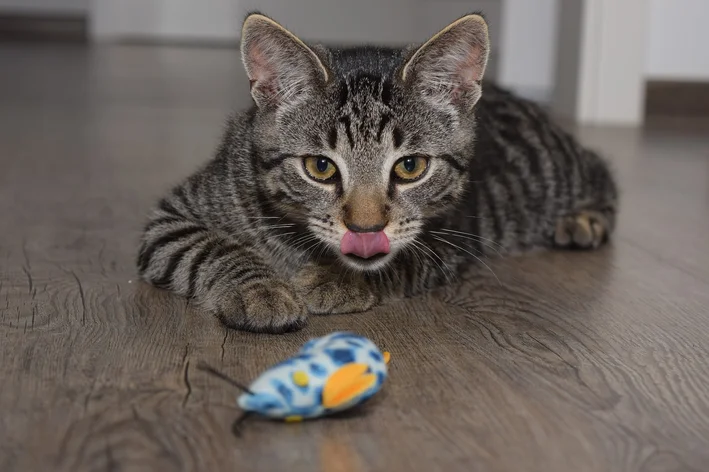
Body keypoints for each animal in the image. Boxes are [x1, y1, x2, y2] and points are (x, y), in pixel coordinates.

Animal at [136, 12, 616, 334]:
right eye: (320, 167)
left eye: (410, 166)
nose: (365, 228)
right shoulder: (170, 219)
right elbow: (209, 248)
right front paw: (259, 290)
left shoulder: (455, 235)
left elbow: (402, 259)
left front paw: (337, 279)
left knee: (600, 167)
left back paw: (585, 219)